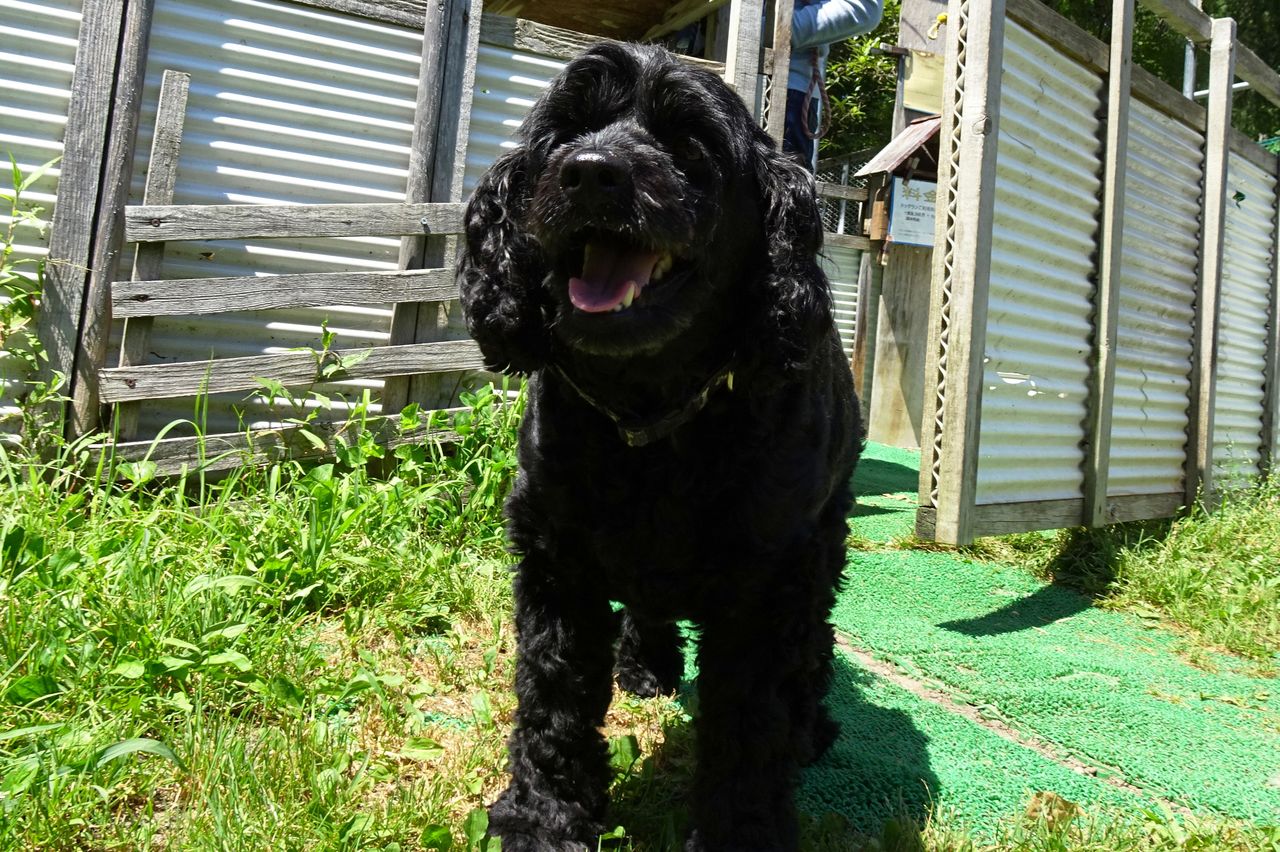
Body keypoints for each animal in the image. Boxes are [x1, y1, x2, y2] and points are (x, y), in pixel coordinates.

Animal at [457, 42, 861, 852]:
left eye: (690, 142)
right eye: (565, 131)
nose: (590, 173)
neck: (651, 415)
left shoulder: (769, 582)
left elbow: (752, 725)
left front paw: (744, 831)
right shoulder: (557, 561)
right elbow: (553, 699)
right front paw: (544, 818)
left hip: (826, 533)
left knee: (816, 642)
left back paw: (813, 724)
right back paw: (647, 665)